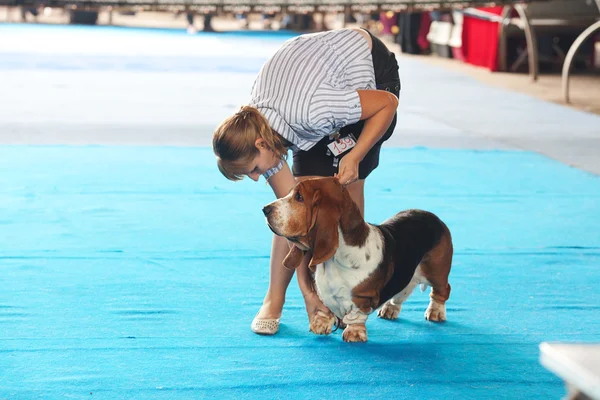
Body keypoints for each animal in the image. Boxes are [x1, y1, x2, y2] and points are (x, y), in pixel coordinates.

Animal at [260, 177, 452, 342]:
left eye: (299, 197)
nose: (265, 209)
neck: (335, 260)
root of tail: (434, 217)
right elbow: (325, 307)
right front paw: (321, 323)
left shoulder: (362, 298)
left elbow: (356, 316)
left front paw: (354, 334)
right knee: (403, 290)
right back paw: (390, 309)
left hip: (436, 270)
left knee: (442, 290)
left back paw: (436, 312)